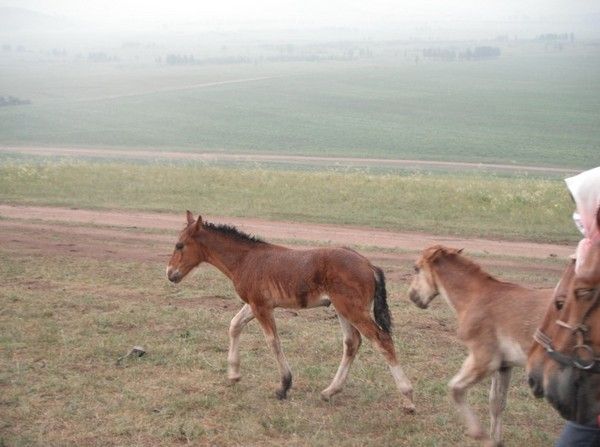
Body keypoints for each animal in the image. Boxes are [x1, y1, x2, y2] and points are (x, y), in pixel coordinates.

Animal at [166, 212, 414, 412]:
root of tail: (369, 265)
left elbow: (273, 341)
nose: (169, 273)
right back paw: (330, 391)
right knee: (352, 342)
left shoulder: (261, 306)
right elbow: (234, 325)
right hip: (343, 309)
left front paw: (284, 386)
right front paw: (234, 374)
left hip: (351, 308)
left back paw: (408, 398)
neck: (245, 259)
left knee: (381, 339)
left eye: (179, 245)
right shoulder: (256, 304)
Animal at [408, 247, 552, 446]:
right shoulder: (504, 366)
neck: (476, 297)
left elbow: (455, 389)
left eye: (416, 268)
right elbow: (497, 403)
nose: (412, 296)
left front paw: (481, 436)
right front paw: (496, 441)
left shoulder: (484, 359)